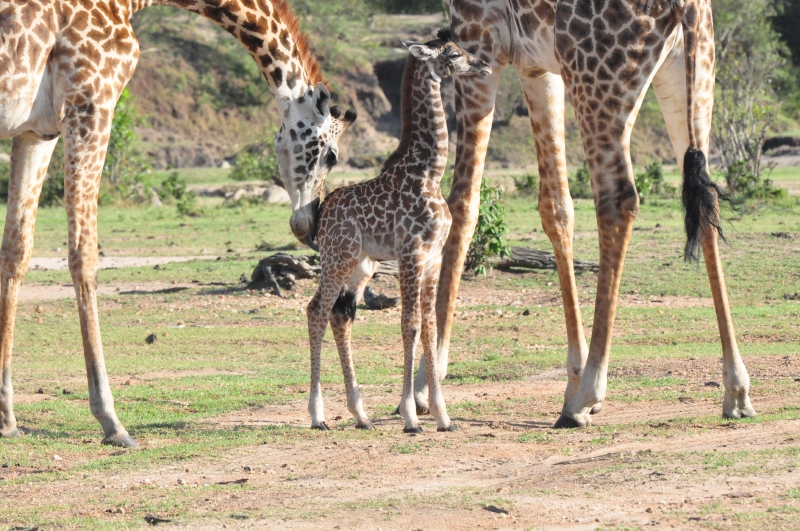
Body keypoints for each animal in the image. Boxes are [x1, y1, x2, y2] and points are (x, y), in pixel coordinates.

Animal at [0, 0, 354, 447]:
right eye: (331, 156)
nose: (308, 224)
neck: (128, 5)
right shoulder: (92, 101)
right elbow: (84, 255)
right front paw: (111, 420)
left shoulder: (36, 129)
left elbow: (16, 252)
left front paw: (6, 418)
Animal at [305, 30, 492, 433]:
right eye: (455, 54)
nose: (485, 65)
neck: (430, 171)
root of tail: (322, 211)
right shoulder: (411, 254)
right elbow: (410, 325)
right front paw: (410, 416)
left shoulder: (433, 258)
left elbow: (430, 326)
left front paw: (443, 416)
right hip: (338, 257)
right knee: (316, 311)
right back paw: (317, 415)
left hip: (362, 265)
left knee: (339, 316)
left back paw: (360, 415)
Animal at [408, 0, 755, 427]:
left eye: (453, 52)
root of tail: (686, 6)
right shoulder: (536, 66)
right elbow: (556, 207)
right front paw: (571, 377)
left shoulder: (479, 39)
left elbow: (463, 202)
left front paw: (425, 384)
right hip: (691, 75)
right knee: (706, 197)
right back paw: (736, 390)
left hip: (598, 83)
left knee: (618, 201)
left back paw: (586, 397)